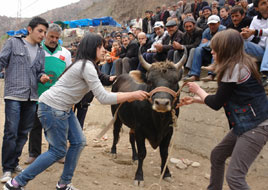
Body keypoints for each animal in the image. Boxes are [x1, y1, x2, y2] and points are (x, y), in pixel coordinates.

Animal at [110, 47, 187, 186]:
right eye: (150, 81)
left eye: (174, 81)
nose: (161, 103)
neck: (158, 120)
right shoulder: (140, 130)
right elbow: (142, 153)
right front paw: (139, 176)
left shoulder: (169, 131)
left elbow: (164, 153)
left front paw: (166, 173)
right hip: (116, 116)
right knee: (116, 132)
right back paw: (113, 151)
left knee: (131, 138)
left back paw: (134, 157)